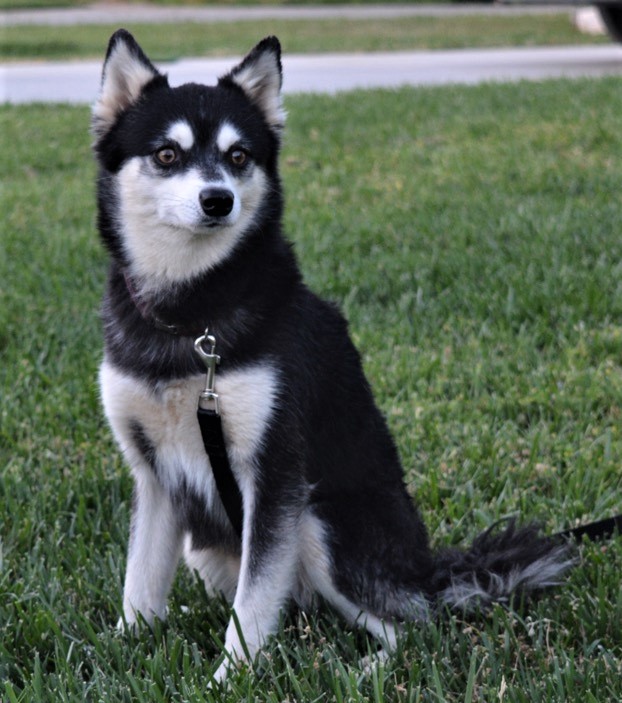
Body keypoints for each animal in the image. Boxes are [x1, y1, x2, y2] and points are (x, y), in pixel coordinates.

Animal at [92, 28, 576, 680]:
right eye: (167, 154)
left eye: (239, 156)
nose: (218, 200)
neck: (192, 316)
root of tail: (427, 571)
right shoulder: (153, 475)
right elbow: (140, 580)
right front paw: (123, 647)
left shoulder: (276, 476)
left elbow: (252, 602)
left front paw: (230, 677)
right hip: (209, 545)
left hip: (323, 524)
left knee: (415, 627)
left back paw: (365, 668)